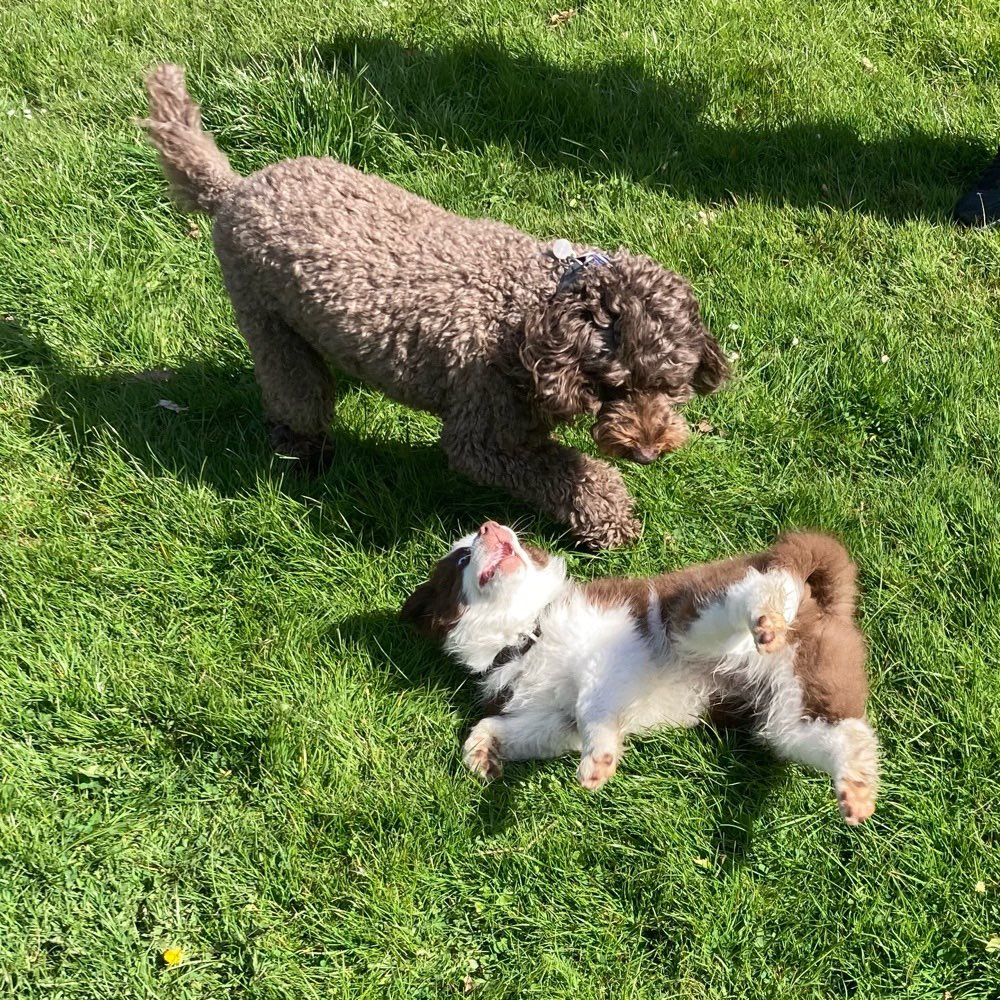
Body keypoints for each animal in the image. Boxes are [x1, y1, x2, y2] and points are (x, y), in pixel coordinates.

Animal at [143, 64, 728, 548]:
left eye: (671, 385)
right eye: (614, 386)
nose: (649, 452)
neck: (531, 312)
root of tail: (233, 189)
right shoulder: (484, 433)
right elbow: (573, 473)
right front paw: (608, 518)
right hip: (267, 325)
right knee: (297, 398)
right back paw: (305, 457)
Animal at [402, 520, 880, 824]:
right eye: (462, 557)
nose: (491, 525)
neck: (529, 631)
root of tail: (825, 604)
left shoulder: (606, 654)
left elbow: (593, 706)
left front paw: (597, 763)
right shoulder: (555, 719)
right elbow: (508, 726)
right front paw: (483, 753)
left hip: (693, 619)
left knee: (759, 588)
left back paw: (764, 617)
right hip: (790, 710)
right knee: (846, 736)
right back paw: (856, 791)